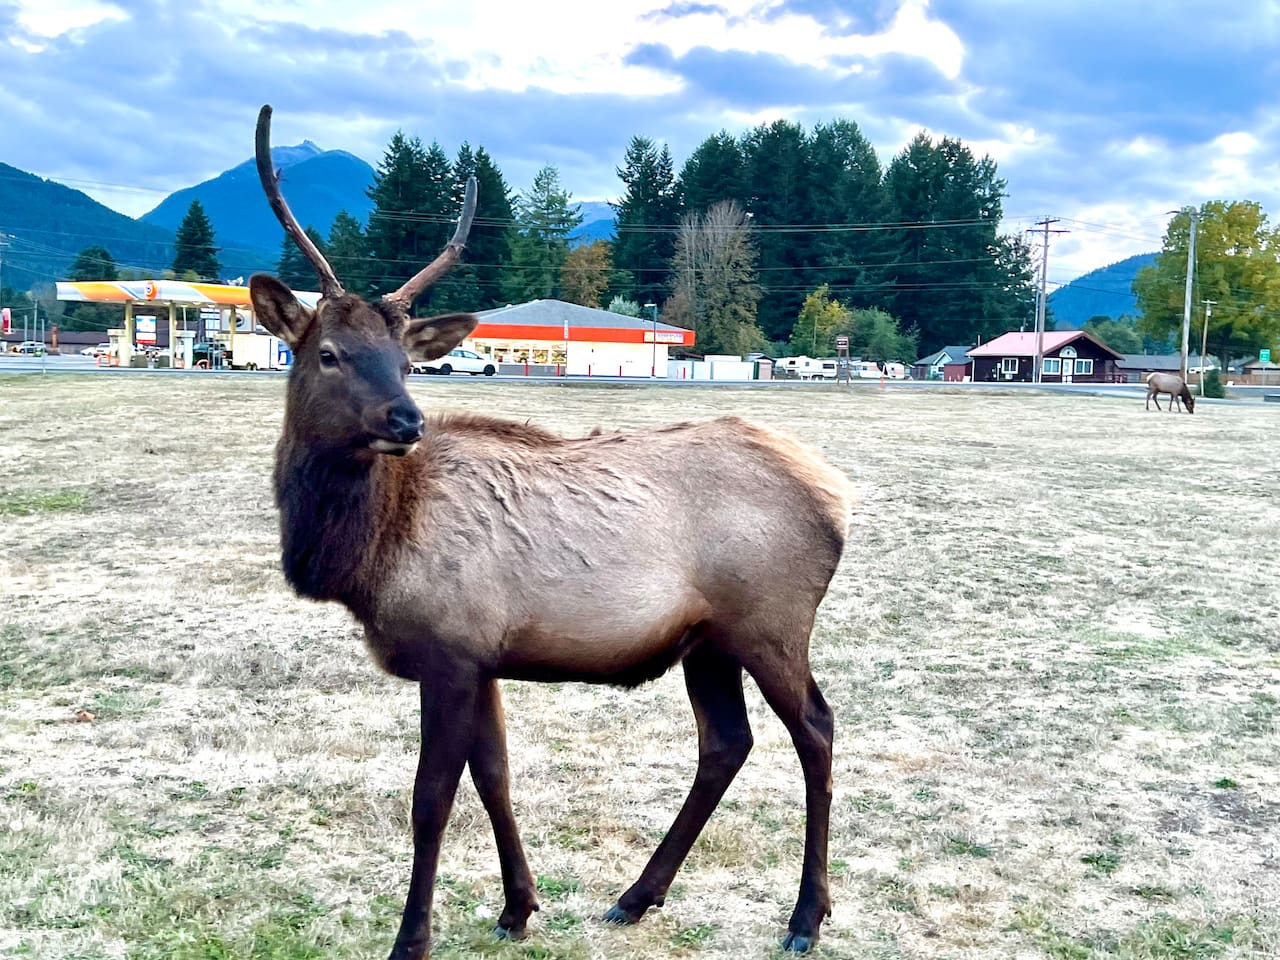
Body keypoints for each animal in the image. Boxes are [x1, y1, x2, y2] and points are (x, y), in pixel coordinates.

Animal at [248, 105, 854, 959]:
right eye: (329, 353)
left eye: (405, 358)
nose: (407, 420)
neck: (366, 558)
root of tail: (839, 497)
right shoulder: (481, 657)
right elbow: (495, 776)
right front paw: (517, 907)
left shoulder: (451, 648)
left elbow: (432, 798)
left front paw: (412, 938)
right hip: (709, 641)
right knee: (726, 744)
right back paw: (636, 896)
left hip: (771, 622)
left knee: (817, 732)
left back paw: (804, 917)